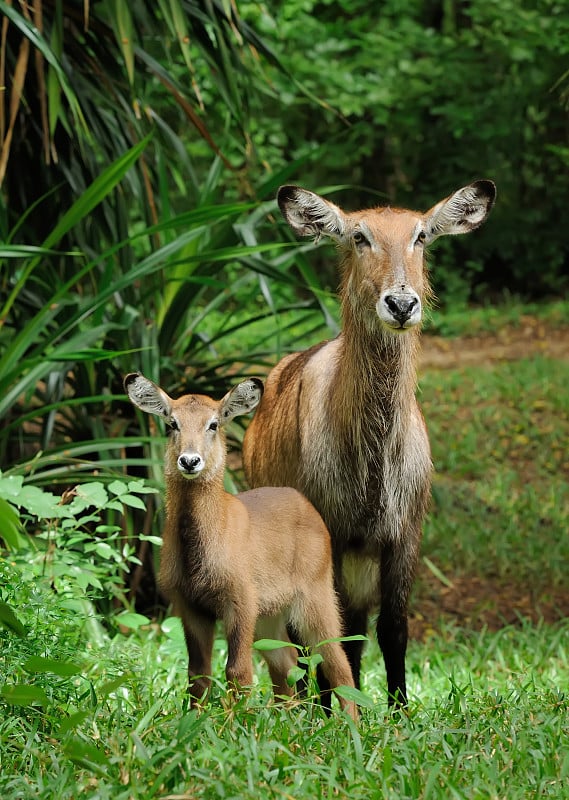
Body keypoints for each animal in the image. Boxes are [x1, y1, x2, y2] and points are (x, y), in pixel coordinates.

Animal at [125, 374, 356, 720]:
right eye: (172, 423)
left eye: (213, 424)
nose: (189, 461)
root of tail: (307, 505)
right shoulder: (190, 605)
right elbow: (198, 674)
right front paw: (196, 721)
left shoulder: (241, 601)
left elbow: (238, 671)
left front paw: (235, 723)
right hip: (270, 616)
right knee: (287, 663)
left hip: (315, 599)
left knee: (338, 664)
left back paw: (353, 723)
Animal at [242, 181, 494, 708]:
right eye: (360, 236)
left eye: (420, 235)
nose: (400, 304)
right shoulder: (333, 536)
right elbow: (325, 635)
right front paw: (330, 712)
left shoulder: (404, 535)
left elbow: (392, 630)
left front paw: (399, 712)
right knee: (302, 634)